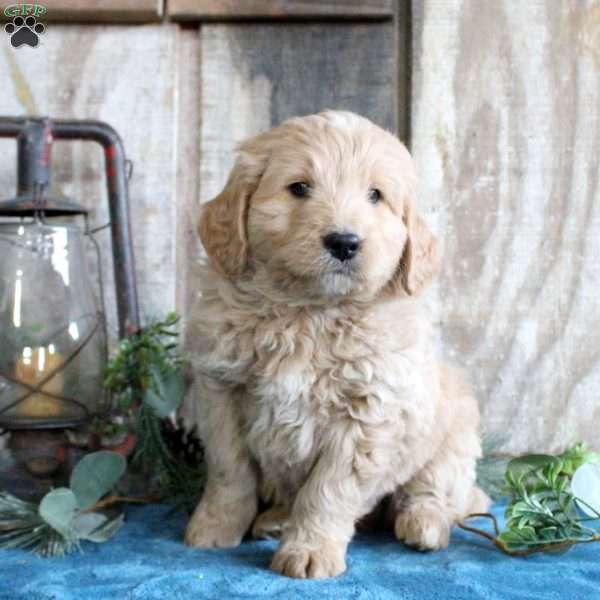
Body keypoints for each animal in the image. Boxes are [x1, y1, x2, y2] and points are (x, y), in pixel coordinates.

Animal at [185, 110, 490, 580]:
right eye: (299, 188)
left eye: (375, 196)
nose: (344, 242)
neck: (307, 313)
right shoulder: (222, 392)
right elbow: (229, 472)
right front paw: (216, 527)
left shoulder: (368, 414)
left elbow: (327, 491)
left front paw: (310, 550)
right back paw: (276, 520)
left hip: (454, 434)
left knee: (439, 492)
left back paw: (423, 525)